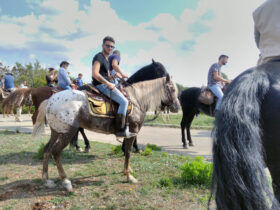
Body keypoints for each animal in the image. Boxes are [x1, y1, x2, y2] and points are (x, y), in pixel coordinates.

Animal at [31, 74, 178, 191]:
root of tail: (50, 101)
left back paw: (46, 180)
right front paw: (129, 176)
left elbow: (126, 151)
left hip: (56, 131)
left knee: (47, 149)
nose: (177, 107)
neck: (137, 99)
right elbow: (128, 152)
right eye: (172, 89)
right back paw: (66, 181)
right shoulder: (133, 131)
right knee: (56, 152)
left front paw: (127, 170)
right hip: (67, 133)